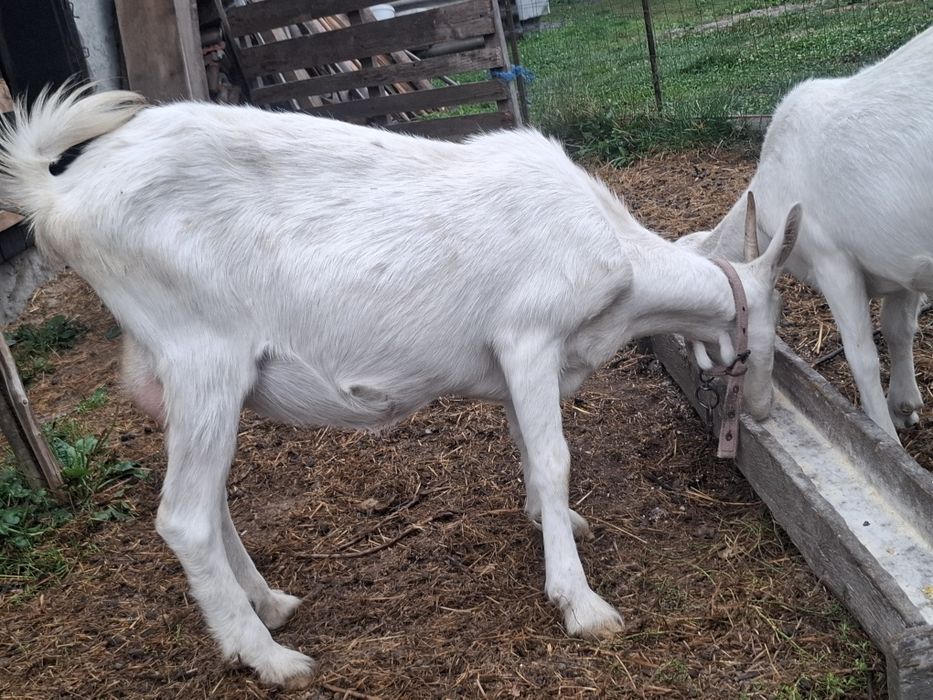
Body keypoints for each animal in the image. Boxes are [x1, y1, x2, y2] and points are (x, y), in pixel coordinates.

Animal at [0, 87, 799, 688]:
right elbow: (553, 457)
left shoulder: (519, 361)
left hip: (183, 377)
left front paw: (554, 523)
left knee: (210, 498)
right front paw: (580, 604)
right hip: (204, 354)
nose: (761, 407)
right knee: (183, 517)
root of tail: (59, 196)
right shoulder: (528, 334)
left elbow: (524, 442)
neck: (619, 260)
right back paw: (269, 657)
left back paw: (270, 603)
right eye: (770, 328)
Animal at [679, 24, 933, 441]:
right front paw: (905, 405)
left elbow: (862, 357)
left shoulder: (833, 261)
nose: (756, 407)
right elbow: (898, 328)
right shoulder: (899, 265)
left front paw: (885, 436)